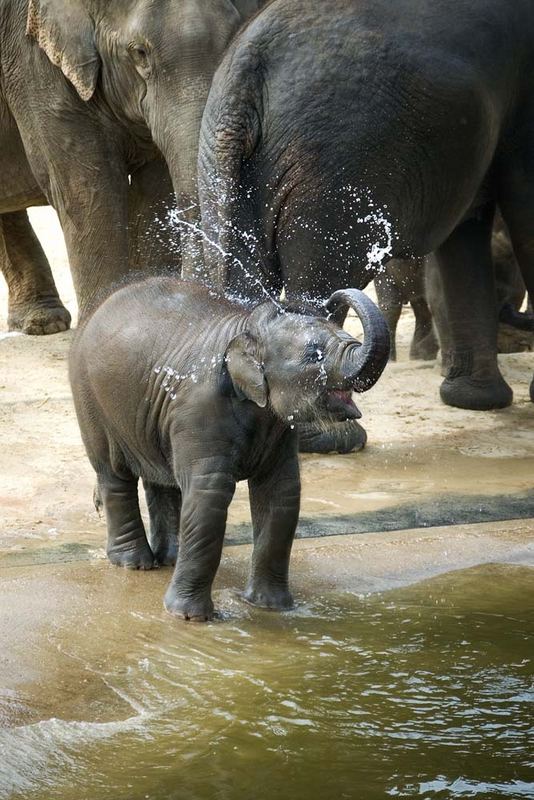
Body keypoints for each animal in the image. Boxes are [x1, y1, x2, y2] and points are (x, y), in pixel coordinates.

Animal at [0, 0, 262, 332]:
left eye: (230, 39)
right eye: (139, 52)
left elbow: (154, 190)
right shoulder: (33, 62)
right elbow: (85, 187)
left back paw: (42, 322)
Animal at [69, 278, 392, 620]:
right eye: (314, 355)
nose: (331, 298)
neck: (247, 327)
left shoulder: (277, 428)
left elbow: (281, 493)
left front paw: (271, 607)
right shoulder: (198, 408)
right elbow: (210, 494)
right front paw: (189, 618)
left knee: (162, 480)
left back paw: (170, 559)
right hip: (89, 397)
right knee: (113, 473)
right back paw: (134, 564)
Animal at [199, 0, 534, 450]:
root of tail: (246, 68)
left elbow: (466, 230)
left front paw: (474, 402)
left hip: (221, 159)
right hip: (336, 169)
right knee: (320, 279)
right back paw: (332, 438)